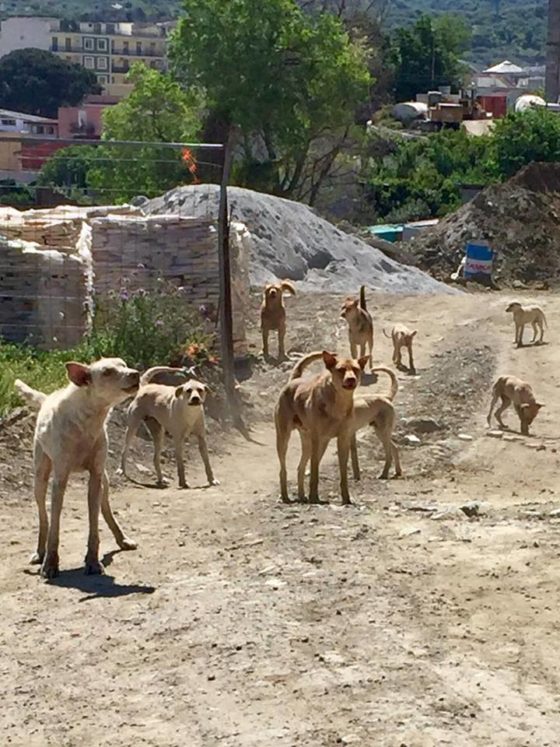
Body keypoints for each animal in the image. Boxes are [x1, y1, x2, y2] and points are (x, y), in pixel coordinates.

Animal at [14, 360, 139, 580]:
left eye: (124, 364)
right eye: (107, 372)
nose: (137, 374)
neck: (87, 421)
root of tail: (47, 398)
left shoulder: (95, 477)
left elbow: (94, 527)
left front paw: (92, 562)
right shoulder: (60, 480)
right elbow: (54, 528)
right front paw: (50, 564)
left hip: (105, 480)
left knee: (106, 509)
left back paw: (122, 538)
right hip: (40, 478)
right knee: (43, 518)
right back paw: (39, 552)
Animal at [274, 350, 370, 502]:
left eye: (356, 369)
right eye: (341, 370)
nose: (351, 379)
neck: (339, 404)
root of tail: (293, 381)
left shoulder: (343, 439)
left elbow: (343, 472)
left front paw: (346, 498)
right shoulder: (316, 438)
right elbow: (314, 471)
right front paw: (314, 497)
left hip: (313, 443)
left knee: (300, 468)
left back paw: (302, 495)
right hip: (284, 438)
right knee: (283, 470)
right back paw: (286, 496)